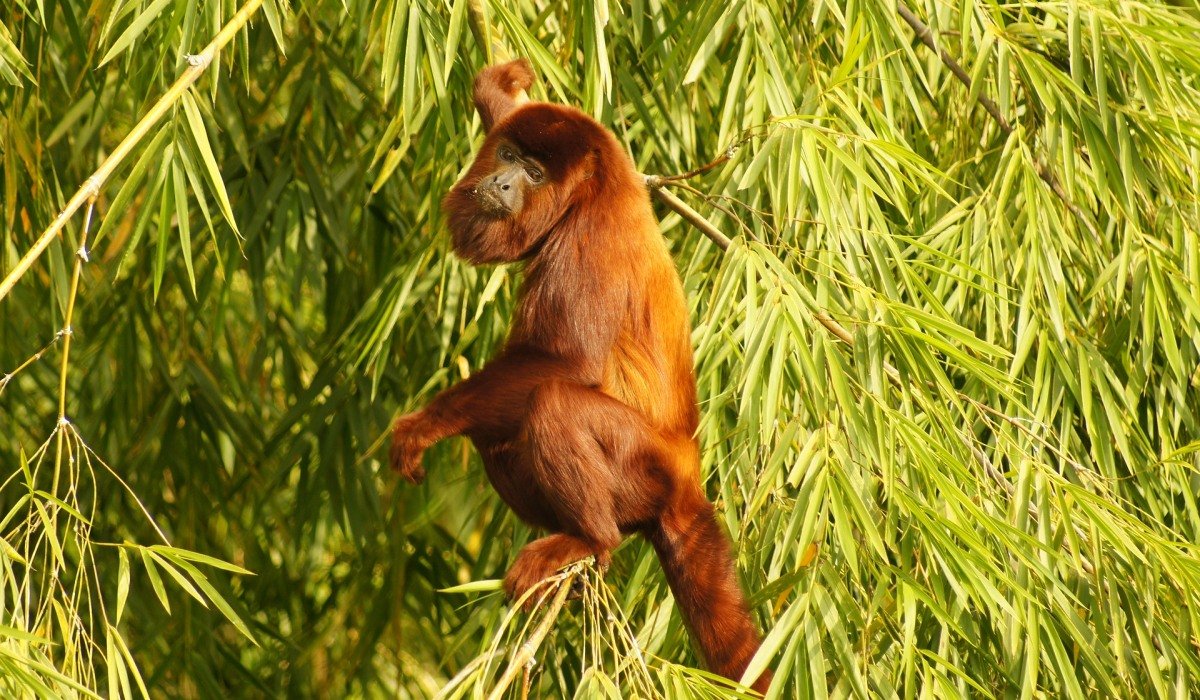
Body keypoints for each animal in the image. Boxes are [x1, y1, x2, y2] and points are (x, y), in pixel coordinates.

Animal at [390, 59, 771, 694]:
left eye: (534, 173)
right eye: (508, 155)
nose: (502, 183)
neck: (594, 186)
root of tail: (690, 474)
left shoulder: (590, 240)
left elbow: (565, 365)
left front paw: (424, 424)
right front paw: (500, 86)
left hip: (646, 469)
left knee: (552, 403)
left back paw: (589, 539)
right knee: (499, 433)